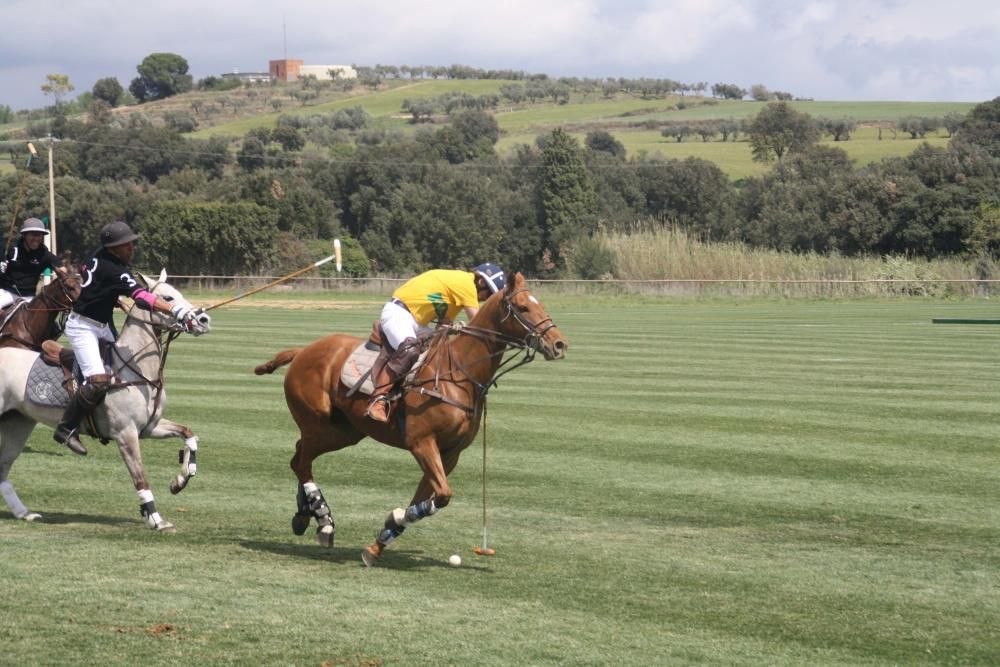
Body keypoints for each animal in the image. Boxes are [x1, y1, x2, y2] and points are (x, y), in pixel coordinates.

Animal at [0, 268, 211, 536]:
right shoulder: (125, 433)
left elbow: (188, 434)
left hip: (18, 422)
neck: (137, 370)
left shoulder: (150, 427)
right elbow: (140, 476)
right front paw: (155, 519)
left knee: (3, 467)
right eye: (168, 297)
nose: (204, 320)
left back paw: (24, 513)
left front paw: (180, 480)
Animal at [256, 274, 572, 568]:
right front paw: (393, 519)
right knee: (302, 461)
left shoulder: (449, 453)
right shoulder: (422, 442)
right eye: (523, 307)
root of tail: (301, 351)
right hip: (318, 422)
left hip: (342, 431)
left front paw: (379, 544)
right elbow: (442, 495)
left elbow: (428, 496)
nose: (559, 344)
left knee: (299, 457)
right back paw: (324, 523)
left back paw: (304, 516)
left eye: (541, 304)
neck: (459, 375)